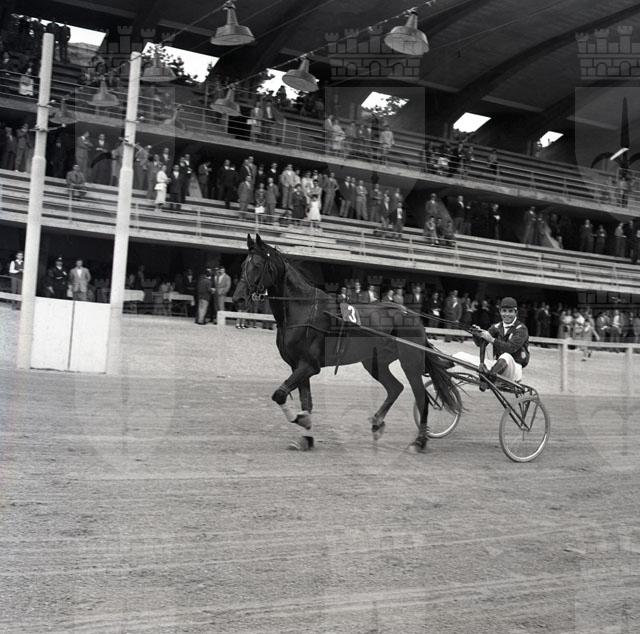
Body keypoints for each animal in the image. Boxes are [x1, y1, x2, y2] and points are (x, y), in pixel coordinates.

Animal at [232, 234, 462, 452]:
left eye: (257, 265)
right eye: (243, 265)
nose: (238, 298)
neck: (303, 309)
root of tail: (411, 315)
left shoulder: (309, 365)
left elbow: (280, 395)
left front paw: (301, 420)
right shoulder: (298, 366)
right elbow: (306, 402)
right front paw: (306, 438)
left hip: (410, 362)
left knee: (421, 397)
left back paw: (420, 441)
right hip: (374, 362)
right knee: (395, 388)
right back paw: (378, 422)